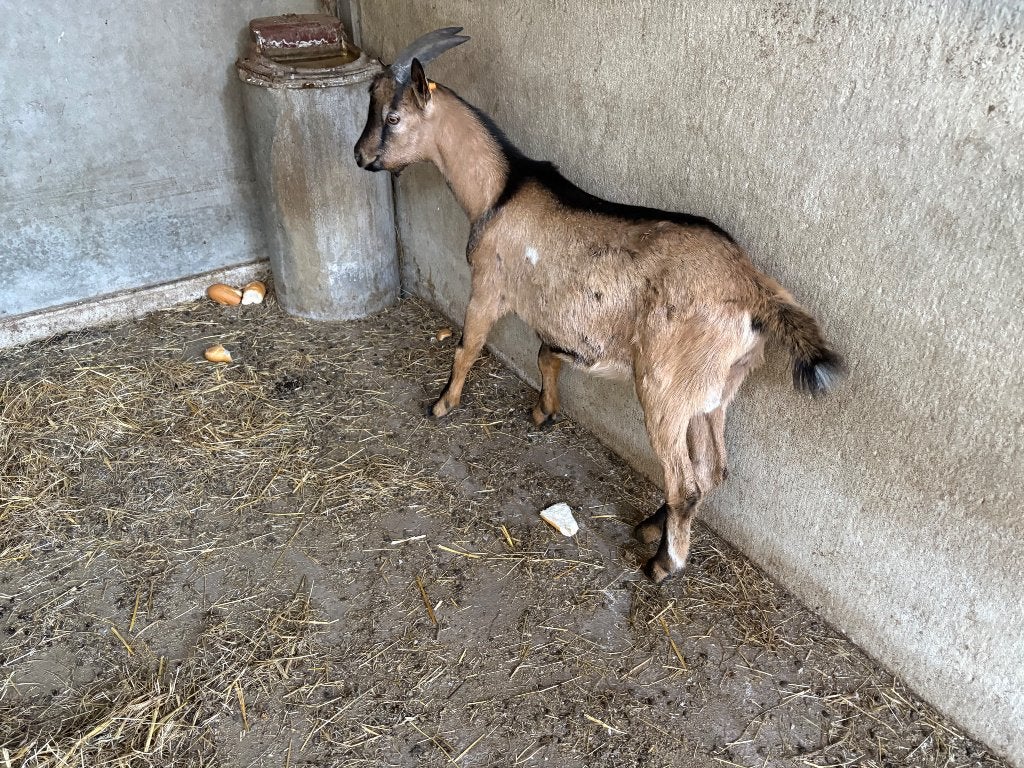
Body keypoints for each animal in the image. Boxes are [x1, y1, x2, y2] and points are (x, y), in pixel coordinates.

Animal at [355, 28, 845, 583]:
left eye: (393, 117)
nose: (359, 156)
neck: (500, 190)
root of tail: (751, 290)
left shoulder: (488, 285)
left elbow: (468, 345)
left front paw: (441, 404)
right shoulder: (563, 325)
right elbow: (546, 354)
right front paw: (544, 411)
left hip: (665, 387)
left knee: (685, 480)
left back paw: (663, 562)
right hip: (716, 393)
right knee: (712, 471)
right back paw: (653, 527)